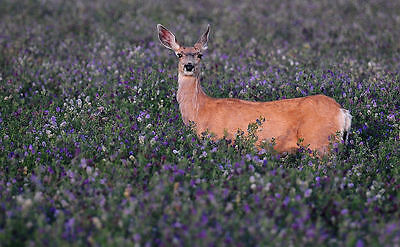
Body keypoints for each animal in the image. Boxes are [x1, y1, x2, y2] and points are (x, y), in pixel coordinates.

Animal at [158, 23, 352, 154]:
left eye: (200, 55)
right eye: (179, 54)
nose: (189, 66)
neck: (200, 109)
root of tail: (342, 112)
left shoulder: (217, 139)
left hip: (319, 143)